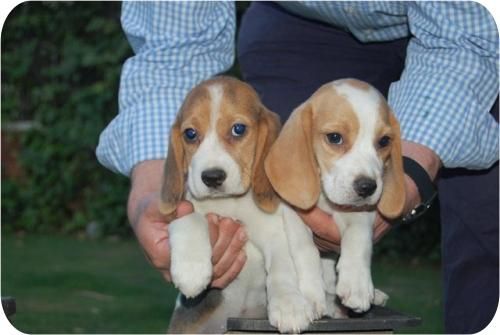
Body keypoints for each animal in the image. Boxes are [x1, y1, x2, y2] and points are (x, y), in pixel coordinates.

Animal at [158, 77, 326, 334]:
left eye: (238, 129)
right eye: (190, 134)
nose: (212, 177)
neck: (231, 203)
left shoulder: (274, 232)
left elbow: (282, 265)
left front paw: (289, 305)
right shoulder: (181, 210)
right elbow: (191, 218)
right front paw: (191, 271)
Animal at [266, 78, 406, 316]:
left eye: (384, 141)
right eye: (334, 138)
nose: (367, 187)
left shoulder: (362, 213)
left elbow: (358, 238)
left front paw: (358, 284)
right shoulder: (293, 215)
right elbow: (305, 249)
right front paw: (311, 295)